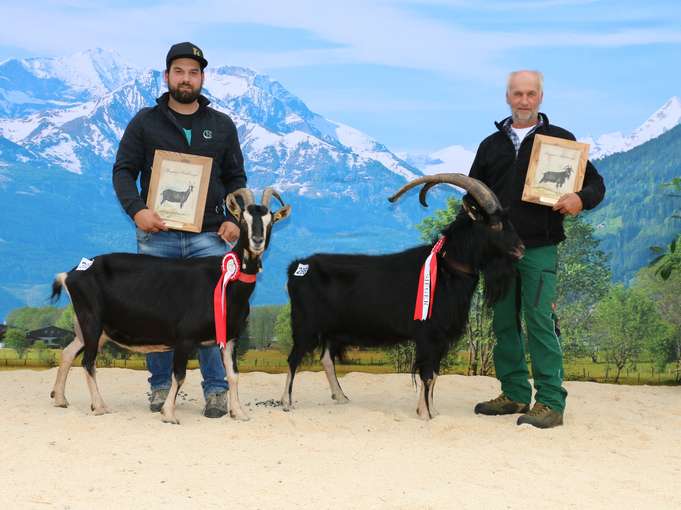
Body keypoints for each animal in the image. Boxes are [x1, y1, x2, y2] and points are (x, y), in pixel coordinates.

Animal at [49, 187, 290, 422]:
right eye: (242, 220)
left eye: (270, 221)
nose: (257, 240)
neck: (227, 281)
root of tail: (70, 274)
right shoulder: (184, 337)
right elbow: (179, 375)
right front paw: (169, 413)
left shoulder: (230, 338)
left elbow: (233, 375)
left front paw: (238, 412)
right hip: (91, 320)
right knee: (88, 362)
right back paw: (99, 406)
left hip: (92, 329)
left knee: (67, 353)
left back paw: (60, 399)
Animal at [280, 175, 520, 418]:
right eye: (495, 224)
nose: (520, 249)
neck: (446, 269)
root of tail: (297, 267)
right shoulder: (428, 335)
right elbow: (427, 374)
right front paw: (425, 414)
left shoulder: (439, 339)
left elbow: (435, 374)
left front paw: (432, 411)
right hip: (306, 324)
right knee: (293, 358)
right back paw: (286, 402)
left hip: (331, 329)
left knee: (326, 359)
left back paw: (340, 397)